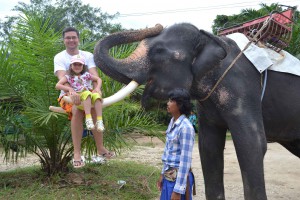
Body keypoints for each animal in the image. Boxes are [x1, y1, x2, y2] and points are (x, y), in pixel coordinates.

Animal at [94, 23, 300, 200]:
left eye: (159, 51)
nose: (158, 25)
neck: (210, 38)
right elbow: (208, 147)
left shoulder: (243, 88)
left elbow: (252, 144)